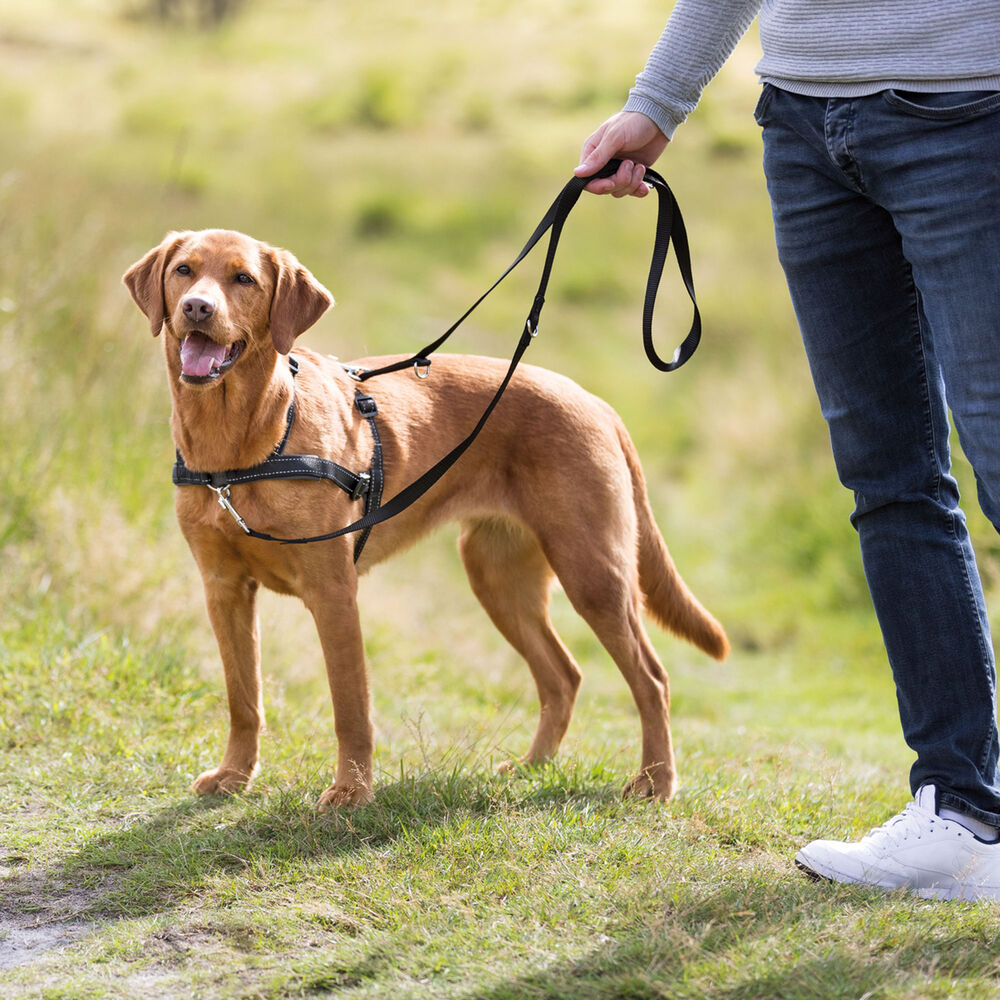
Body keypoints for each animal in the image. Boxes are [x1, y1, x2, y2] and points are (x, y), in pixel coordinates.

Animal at [123, 230, 728, 808]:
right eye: (185, 271)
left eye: (243, 278)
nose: (198, 307)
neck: (240, 447)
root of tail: (597, 403)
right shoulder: (223, 588)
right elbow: (243, 699)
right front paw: (234, 776)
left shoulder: (333, 591)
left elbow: (351, 708)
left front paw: (352, 793)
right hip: (498, 577)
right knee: (563, 676)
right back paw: (532, 768)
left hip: (593, 574)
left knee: (652, 679)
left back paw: (655, 782)